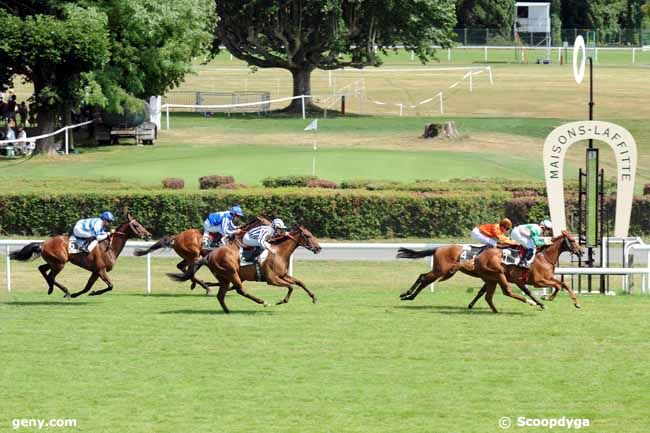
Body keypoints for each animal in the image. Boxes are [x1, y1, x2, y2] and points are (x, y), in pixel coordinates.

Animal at [9, 213, 151, 296]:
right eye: (137, 225)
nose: (149, 235)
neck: (109, 246)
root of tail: (43, 243)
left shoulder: (96, 271)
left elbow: (88, 287)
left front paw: (82, 293)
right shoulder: (101, 270)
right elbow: (110, 285)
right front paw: (94, 293)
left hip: (55, 262)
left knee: (42, 269)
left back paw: (53, 289)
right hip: (59, 263)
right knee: (50, 276)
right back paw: (63, 291)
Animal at [132, 216, 268, 294]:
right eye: (267, 222)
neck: (239, 239)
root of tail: (177, 237)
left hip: (189, 256)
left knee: (182, 267)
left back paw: (197, 284)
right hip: (193, 255)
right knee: (189, 269)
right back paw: (204, 286)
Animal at [166, 224, 320, 312]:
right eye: (308, 236)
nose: (318, 248)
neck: (278, 252)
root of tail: (210, 255)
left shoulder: (283, 275)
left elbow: (300, 282)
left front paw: (314, 298)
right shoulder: (272, 279)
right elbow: (291, 287)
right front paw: (282, 301)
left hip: (224, 277)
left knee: (221, 294)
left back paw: (226, 309)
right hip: (231, 272)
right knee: (240, 290)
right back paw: (262, 302)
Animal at [394, 231, 584, 312]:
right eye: (573, 240)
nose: (582, 251)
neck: (543, 257)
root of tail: (439, 248)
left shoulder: (527, 280)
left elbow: (563, 284)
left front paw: (575, 303)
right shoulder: (538, 280)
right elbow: (557, 286)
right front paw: (546, 298)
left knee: (424, 278)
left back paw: (408, 295)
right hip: (441, 271)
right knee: (423, 278)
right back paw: (407, 294)